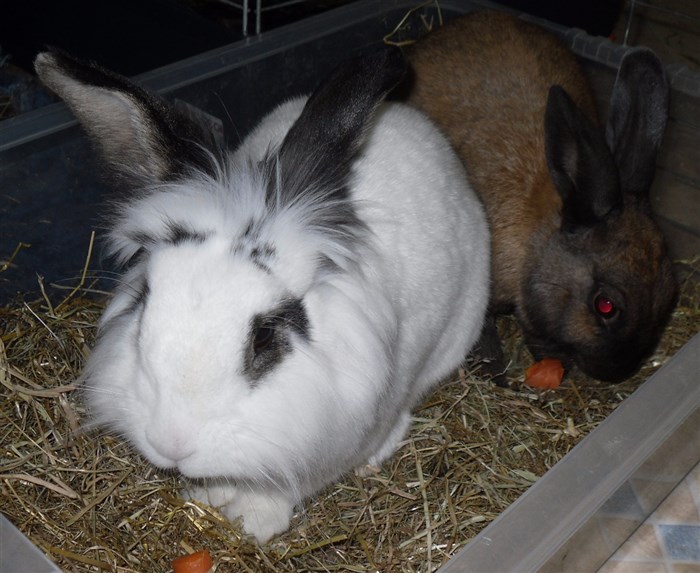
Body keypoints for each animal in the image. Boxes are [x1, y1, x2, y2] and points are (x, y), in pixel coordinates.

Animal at [34, 46, 490, 542]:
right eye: (145, 303)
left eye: (265, 338)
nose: (171, 443)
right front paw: (209, 496)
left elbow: (285, 485)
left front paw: (255, 522)